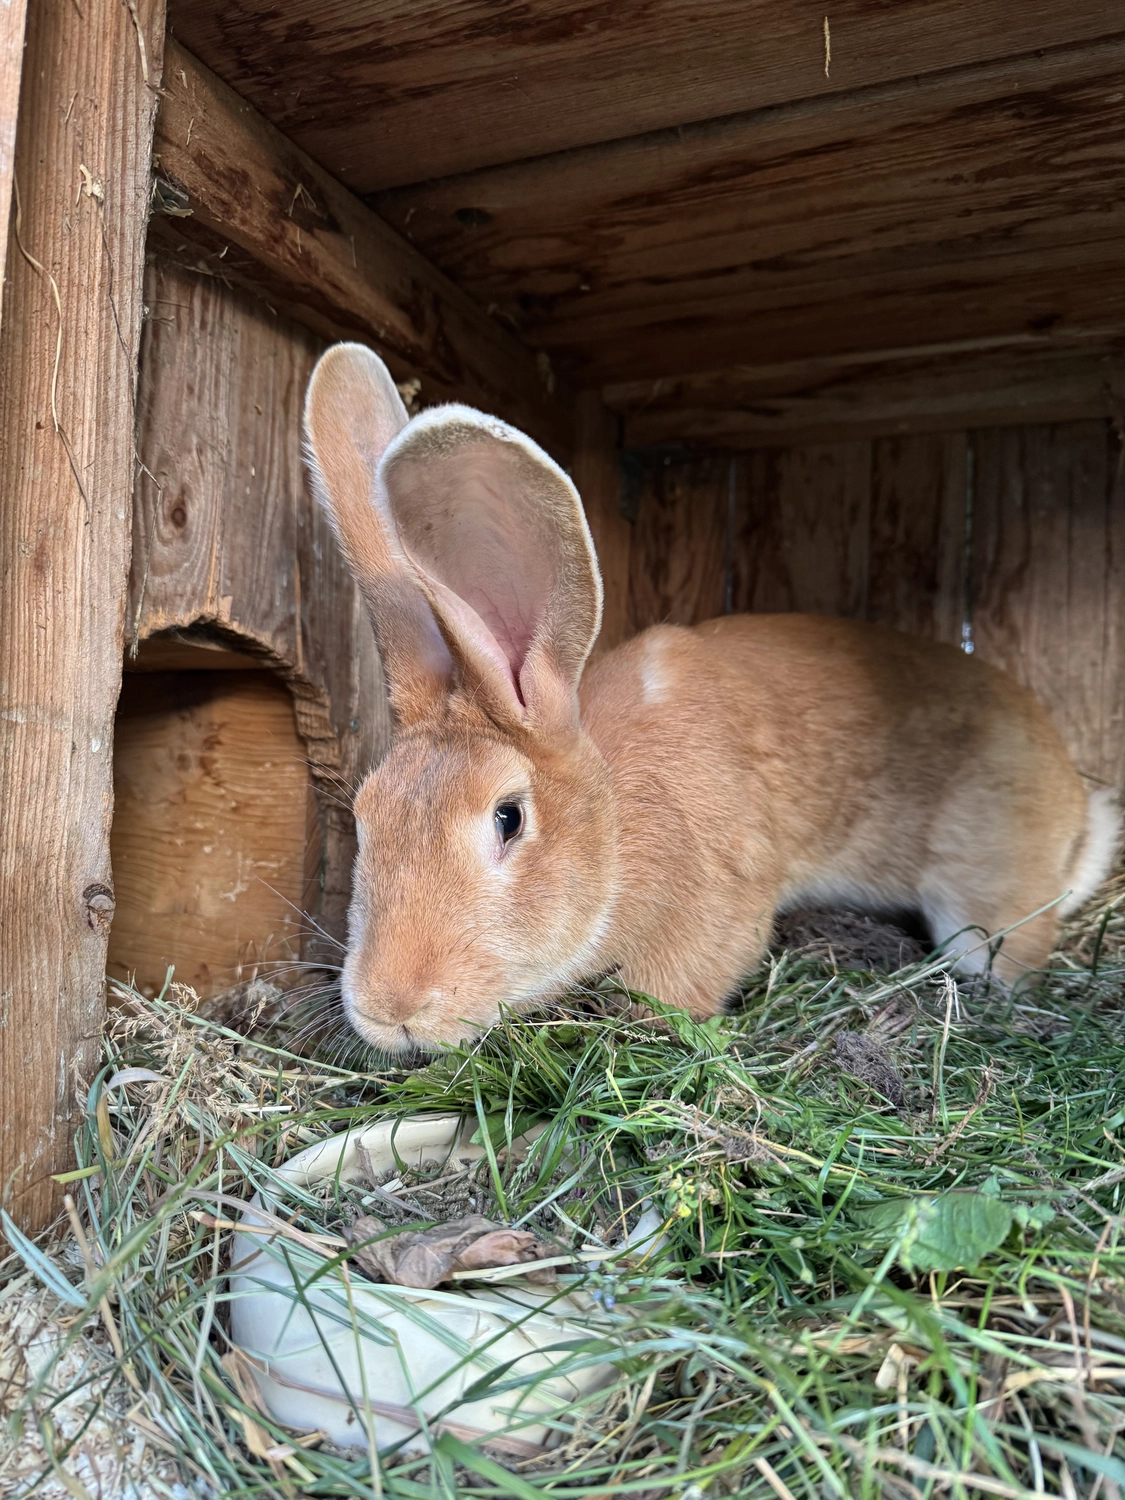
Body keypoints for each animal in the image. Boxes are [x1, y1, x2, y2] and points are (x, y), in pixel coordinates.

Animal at [304, 342, 1119, 1054]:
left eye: (509, 817)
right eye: (364, 816)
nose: (392, 1011)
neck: (616, 822)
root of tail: (1072, 803)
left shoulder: (711, 905)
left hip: (980, 892)